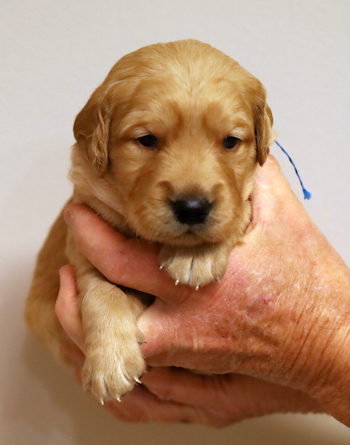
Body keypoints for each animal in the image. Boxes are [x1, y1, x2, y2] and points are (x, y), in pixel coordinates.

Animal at [26, 40, 274, 404]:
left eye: (230, 141)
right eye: (146, 140)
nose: (192, 208)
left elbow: (239, 211)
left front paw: (196, 254)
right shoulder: (83, 245)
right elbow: (101, 291)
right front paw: (110, 361)